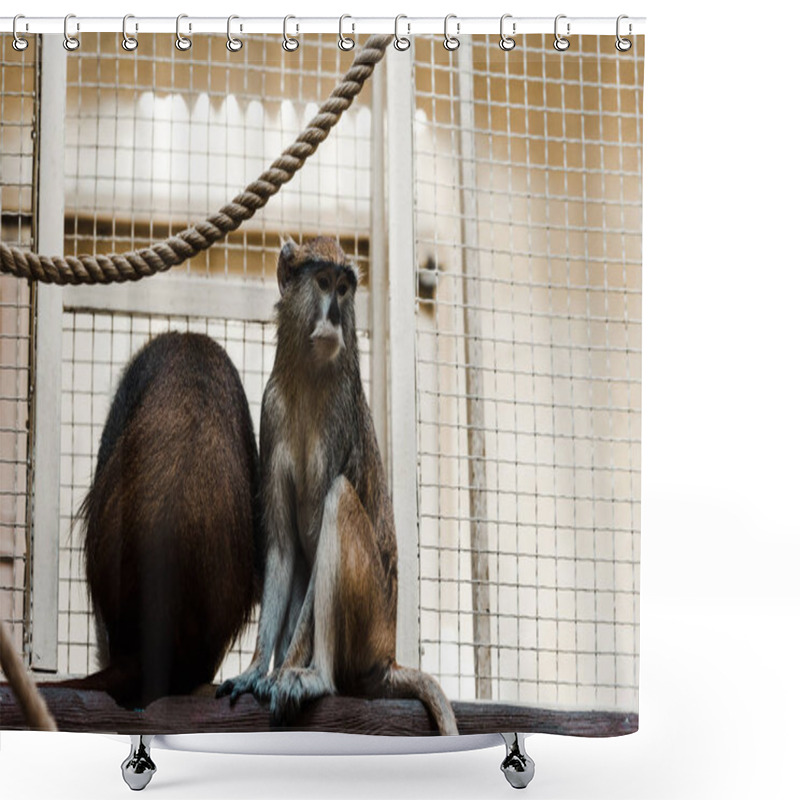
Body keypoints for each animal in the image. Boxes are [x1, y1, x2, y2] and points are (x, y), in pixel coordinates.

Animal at [216, 234, 460, 736]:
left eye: (345, 290)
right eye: (324, 282)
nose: (332, 316)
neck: (309, 378)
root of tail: (387, 657)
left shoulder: (339, 419)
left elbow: (324, 522)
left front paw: (284, 672)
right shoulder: (272, 409)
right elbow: (283, 550)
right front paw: (254, 670)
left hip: (369, 621)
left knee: (339, 499)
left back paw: (316, 677)